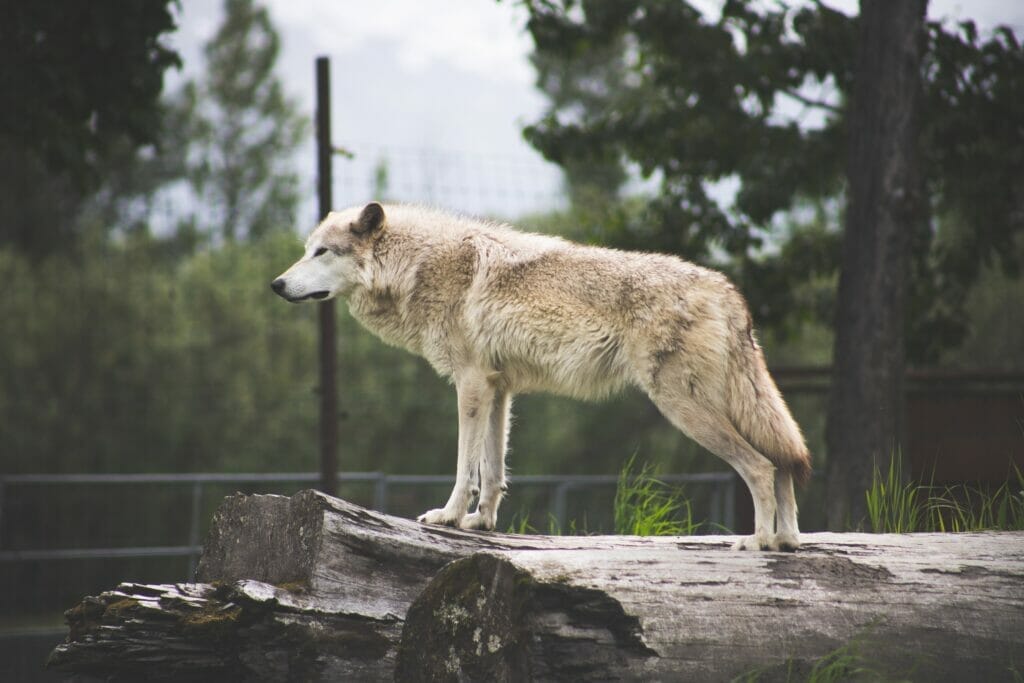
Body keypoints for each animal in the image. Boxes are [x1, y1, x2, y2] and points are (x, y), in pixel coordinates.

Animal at [270, 201, 806, 548]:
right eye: (306, 249)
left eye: (321, 252)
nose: (275, 284)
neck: (418, 265)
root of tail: (728, 292)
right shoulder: (498, 389)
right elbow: (493, 471)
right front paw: (481, 524)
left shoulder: (469, 384)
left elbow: (465, 467)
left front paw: (448, 516)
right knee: (783, 463)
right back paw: (786, 542)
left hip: (683, 407)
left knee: (762, 466)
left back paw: (757, 542)